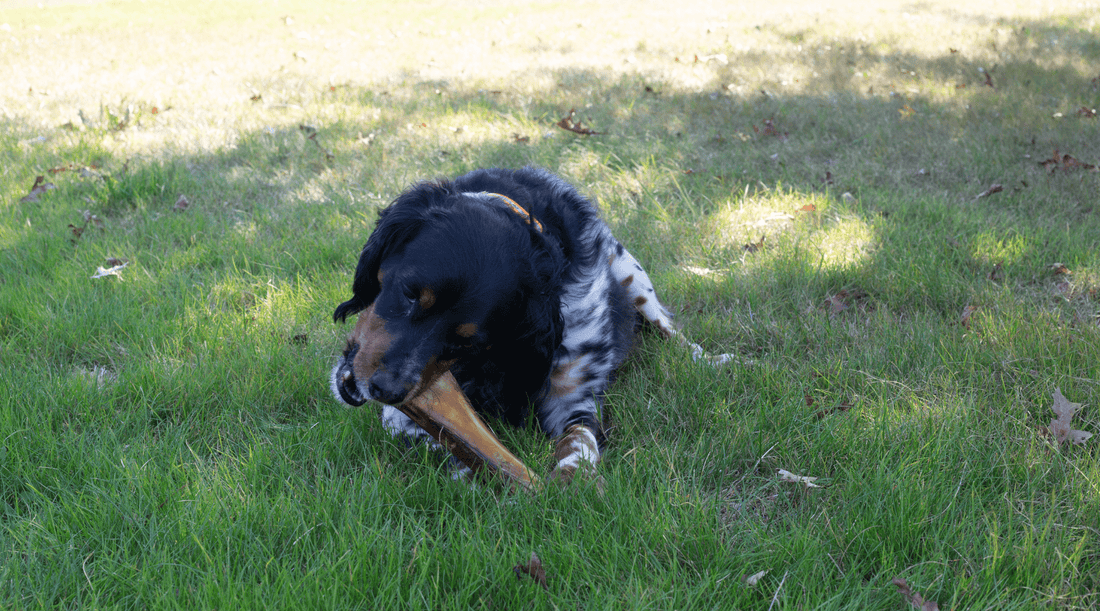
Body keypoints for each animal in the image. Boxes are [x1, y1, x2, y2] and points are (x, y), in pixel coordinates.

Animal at [330, 166, 734, 482]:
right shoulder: (406, 415)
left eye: (467, 341)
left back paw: (713, 360)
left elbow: (579, 442)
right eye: (410, 293)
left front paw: (570, 484)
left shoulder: (575, 399)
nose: (386, 390)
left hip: (630, 272)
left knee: (669, 329)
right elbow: (450, 444)